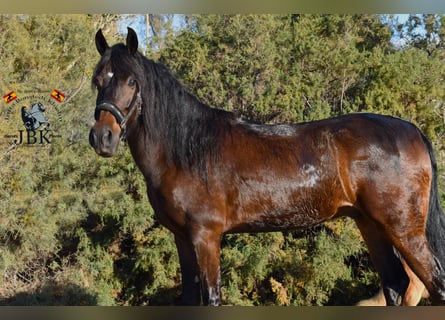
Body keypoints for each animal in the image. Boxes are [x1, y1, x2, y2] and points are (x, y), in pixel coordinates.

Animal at [88, 27, 444, 304]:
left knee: (434, 284)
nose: (103, 137)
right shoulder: (182, 238)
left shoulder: (206, 237)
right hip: (370, 224)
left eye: (132, 82)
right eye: (97, 80)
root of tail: (412, 131)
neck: (187, 149)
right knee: (396, 285)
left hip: (404, 229)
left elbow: (211, 297)